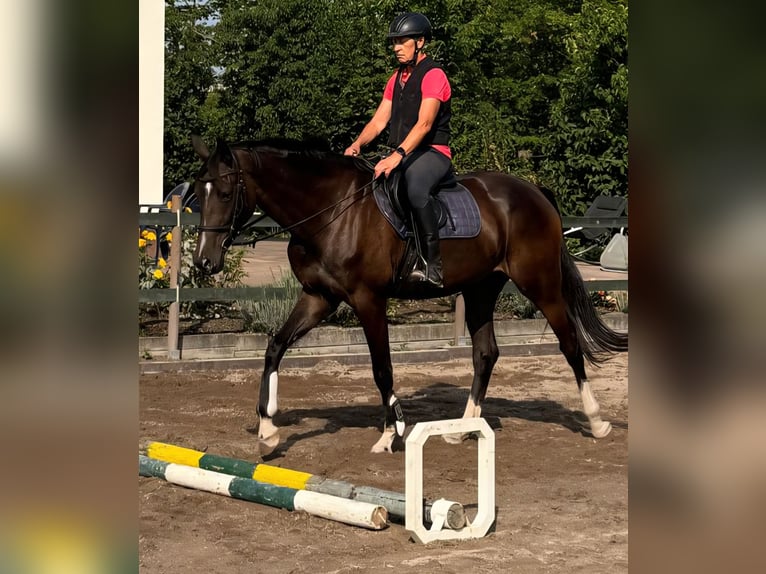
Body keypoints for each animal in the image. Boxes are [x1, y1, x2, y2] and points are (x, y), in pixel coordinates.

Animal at [190, 135, 628, 454]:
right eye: (198, 191)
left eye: (225, 194)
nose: (205, 262)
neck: (331, 211)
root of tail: (534, 192)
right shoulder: (319, 297)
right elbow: (275, 346)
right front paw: (268, 429)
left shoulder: (367, 300)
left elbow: (381, 368)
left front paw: (391, 432)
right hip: (481, 289)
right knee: (485, 353)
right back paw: (462, 429)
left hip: (540, 284)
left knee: (570, 343)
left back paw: (597, 421)